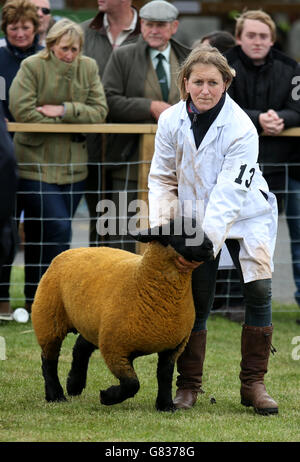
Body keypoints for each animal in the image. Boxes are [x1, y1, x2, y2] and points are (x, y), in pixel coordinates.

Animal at [31, 217, 213, 412]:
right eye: (179, 231)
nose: (210, 246)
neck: (140, 280)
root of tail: (72, 250)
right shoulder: (115, 349)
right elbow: (132, 384)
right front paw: (107, 396)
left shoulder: (173, 347)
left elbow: (164, 376)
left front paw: (165, 405)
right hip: (48, 319)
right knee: (48, 360)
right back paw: (56, 395)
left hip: (94, 323)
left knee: (80, 347)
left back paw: (74, 384)